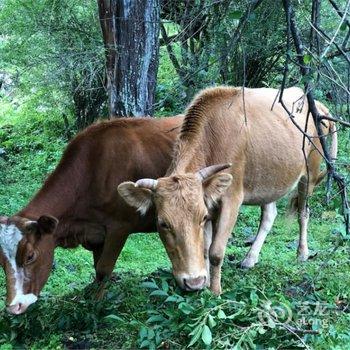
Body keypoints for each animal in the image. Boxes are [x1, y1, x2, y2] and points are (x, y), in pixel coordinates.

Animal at [0, 115, 183, 314]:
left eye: (30, 256)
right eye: (1, 261)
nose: (13, 307)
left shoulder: (119, 227)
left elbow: (103, 269)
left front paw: (96, 307)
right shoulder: (95, 233)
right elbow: (97, 269)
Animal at [119, 85, 338, 296]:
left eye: (201, 218)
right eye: (163, 223)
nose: (192, 281)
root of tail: (317, 104)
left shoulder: (232, 198)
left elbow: (215, 251)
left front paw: (215, 291)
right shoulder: (208, 201)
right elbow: (205, 249)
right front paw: (204, 284)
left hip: (310, 174)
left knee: (304, 213)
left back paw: (302, 253)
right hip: (270, 179)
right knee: (269, 215)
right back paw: (250, 258)